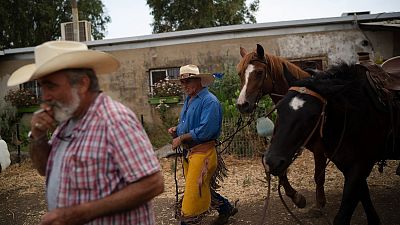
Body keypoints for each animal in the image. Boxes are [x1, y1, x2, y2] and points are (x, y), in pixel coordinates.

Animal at [236, 44, 326, 209]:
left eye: (259, 72)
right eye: (240, 73)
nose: (242, 105)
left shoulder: (319, 148)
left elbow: (319, 175)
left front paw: (320, 203)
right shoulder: (279, 149)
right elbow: (277, 169)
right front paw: (297, 197)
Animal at [266, 62, 400, 224]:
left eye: (313, 116)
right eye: (279, 108)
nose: (273, 162)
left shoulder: (361, 165)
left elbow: (343, 213)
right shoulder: (349, 166)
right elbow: (364, 197)